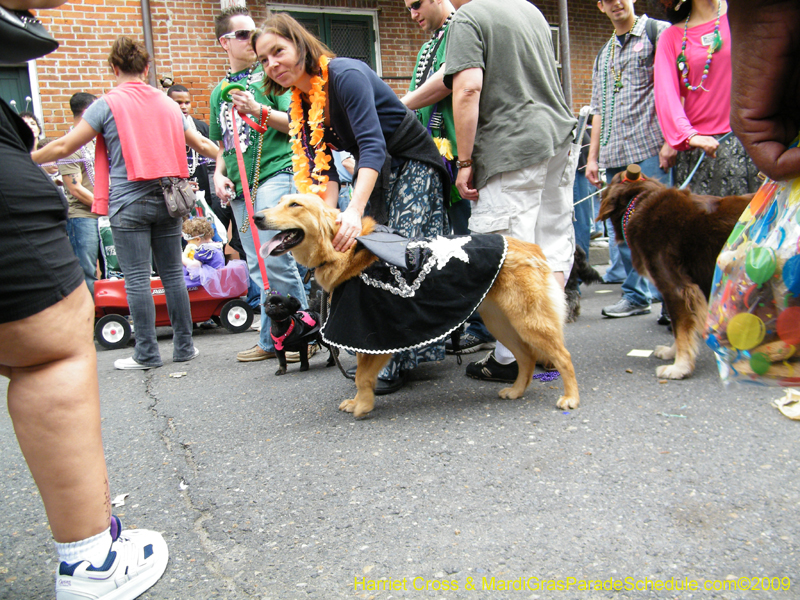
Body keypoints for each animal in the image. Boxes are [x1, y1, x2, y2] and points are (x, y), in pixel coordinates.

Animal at [258, 196, 580, 418]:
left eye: (295, 204)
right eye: (279, 202)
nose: (256, 216)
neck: (344, 250)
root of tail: (532, 247)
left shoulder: (373, 334)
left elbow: (362, 377)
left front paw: (363, 406)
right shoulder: (365, 337)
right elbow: (362, 376)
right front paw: (360, 402)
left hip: (529, 321)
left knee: (563, 357)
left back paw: (571, 398)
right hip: (501, 321)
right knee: (526, 358)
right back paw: (516, 391)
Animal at [596, 172, 752, 380]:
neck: (639, 204)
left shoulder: (676, 288)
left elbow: (681, 329)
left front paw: (680, 366)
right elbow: (682, 329)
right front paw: (672, 353)